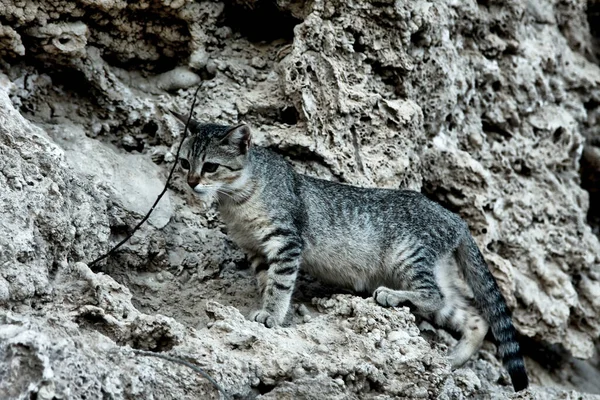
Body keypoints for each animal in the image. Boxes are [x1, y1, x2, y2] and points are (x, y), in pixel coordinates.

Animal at [173, 114, 528, 392]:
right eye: (185, 162)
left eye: (211, 167)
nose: (191, 182)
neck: (237, 200)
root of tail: (456, 218)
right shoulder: (257, 251)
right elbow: (266, 281)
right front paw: (266, 307)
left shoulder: (285, 241)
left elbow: (280, 284)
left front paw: (272, 314)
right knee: (472, 316)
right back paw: (453, 358)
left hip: (406, 254)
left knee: (433, 295)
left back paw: (393, 297)